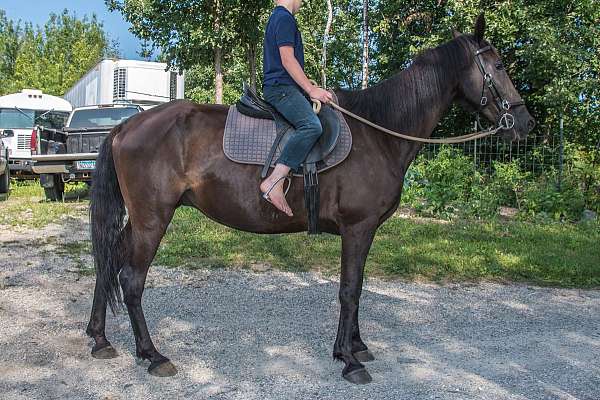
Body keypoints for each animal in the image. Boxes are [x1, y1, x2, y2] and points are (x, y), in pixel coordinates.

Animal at [84, 14, 536, 384]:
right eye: (497, 66)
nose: (525, 123)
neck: (380, 132)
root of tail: (126, 126)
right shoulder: (358, 227)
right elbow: (349, 290)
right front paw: (349, 360)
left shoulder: (363, 232)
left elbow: (356, 287)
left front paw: (355, 347)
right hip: (152, 219)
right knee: (131, 278)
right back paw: (152, 355)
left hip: (140, 219)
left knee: (108, 260)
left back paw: (100, 338)